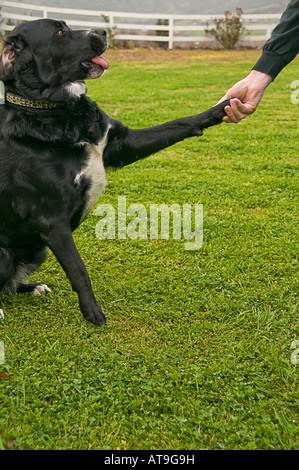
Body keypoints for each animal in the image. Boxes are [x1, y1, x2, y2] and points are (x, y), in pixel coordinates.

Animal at [0, 19, 231, 326]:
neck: (54, 111)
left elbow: (179, 123)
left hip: (36, 250)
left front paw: (222, 108)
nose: (103, 31)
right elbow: (79, 269)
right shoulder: (52, 221)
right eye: (60, 32)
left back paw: (34, 287)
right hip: (7, 252)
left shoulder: (123, 143)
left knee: (10, 286)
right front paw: (92, 313)